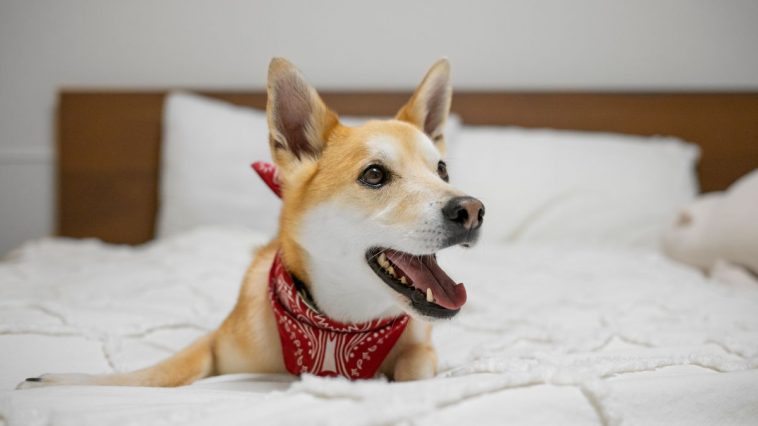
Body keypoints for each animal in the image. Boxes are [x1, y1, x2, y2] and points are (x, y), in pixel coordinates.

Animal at [22, 58, 486, 388]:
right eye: (374, 175)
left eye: (442, 170)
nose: (472, 210)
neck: (337, 330)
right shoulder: (213, 344)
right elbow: (157, 374)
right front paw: (64, 380)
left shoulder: (422, 346)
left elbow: (414, 366)